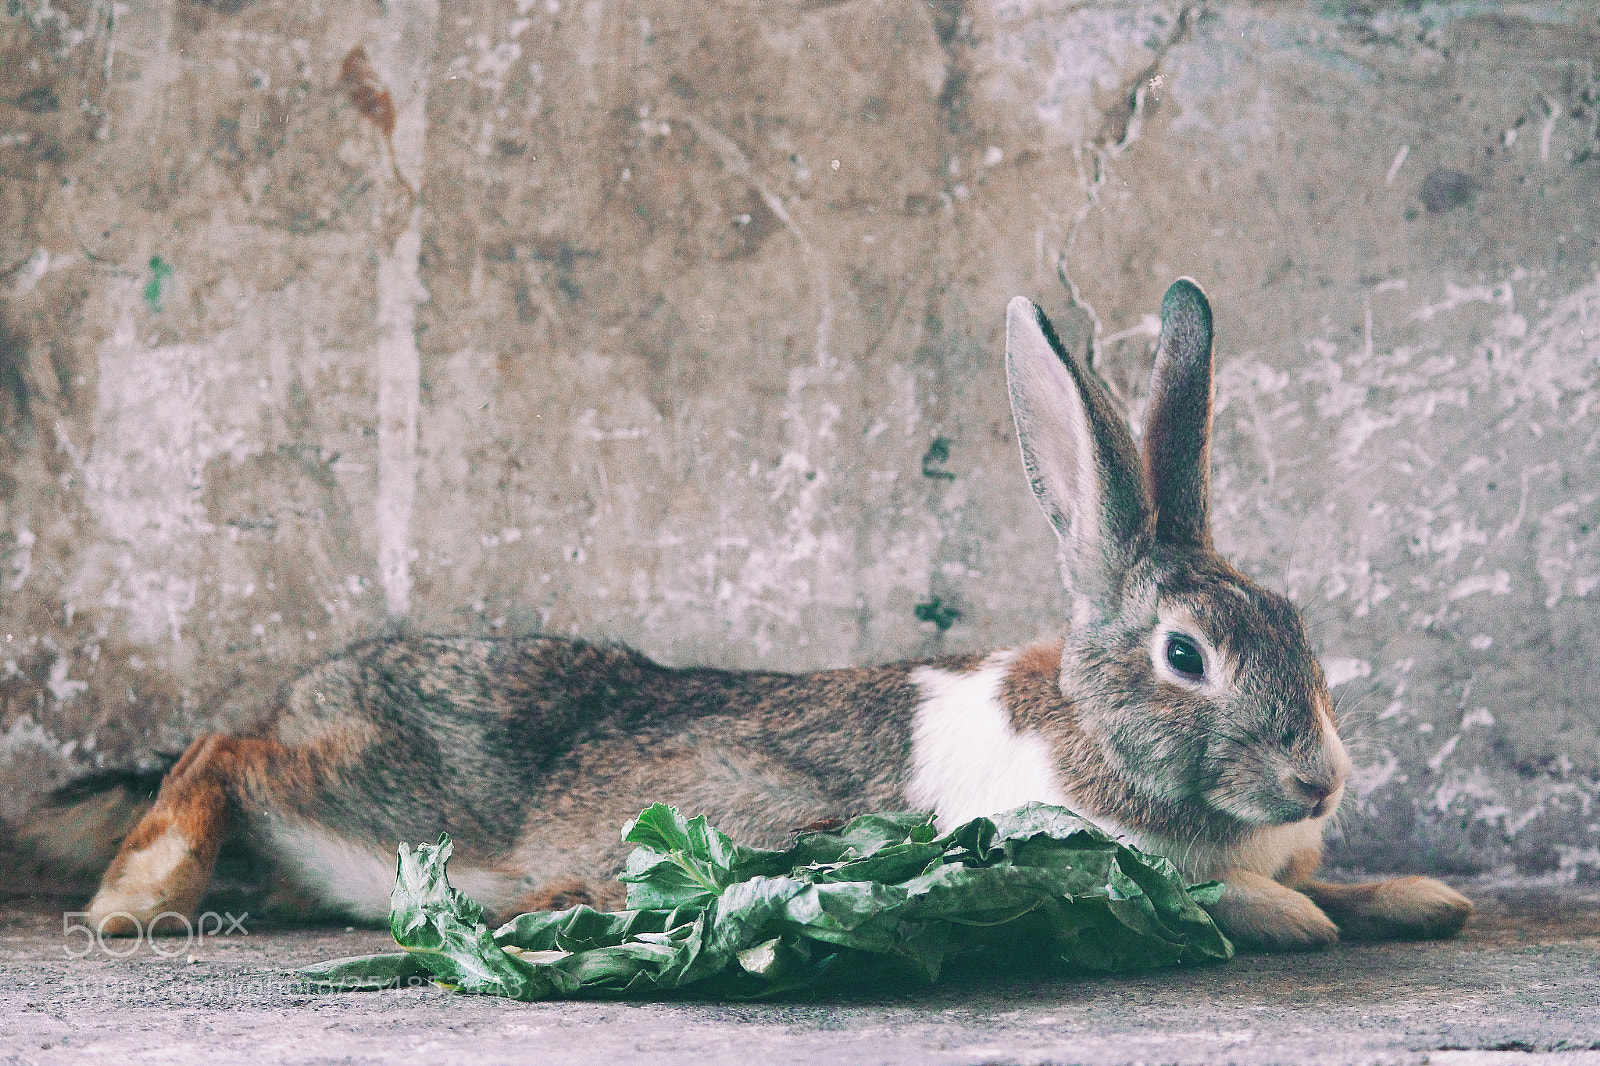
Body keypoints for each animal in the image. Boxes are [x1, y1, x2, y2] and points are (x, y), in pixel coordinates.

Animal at [82, 279, 1471, 951]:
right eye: (1186, 655)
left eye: (1295, 619)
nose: (1319, 782)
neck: (1089, 739)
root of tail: (311, 690)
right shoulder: (1057, 857)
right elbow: (1221, 904)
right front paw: (1295, 913)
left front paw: (1416, 900)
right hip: (389, 791)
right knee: (224, 754)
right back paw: (138, 899)